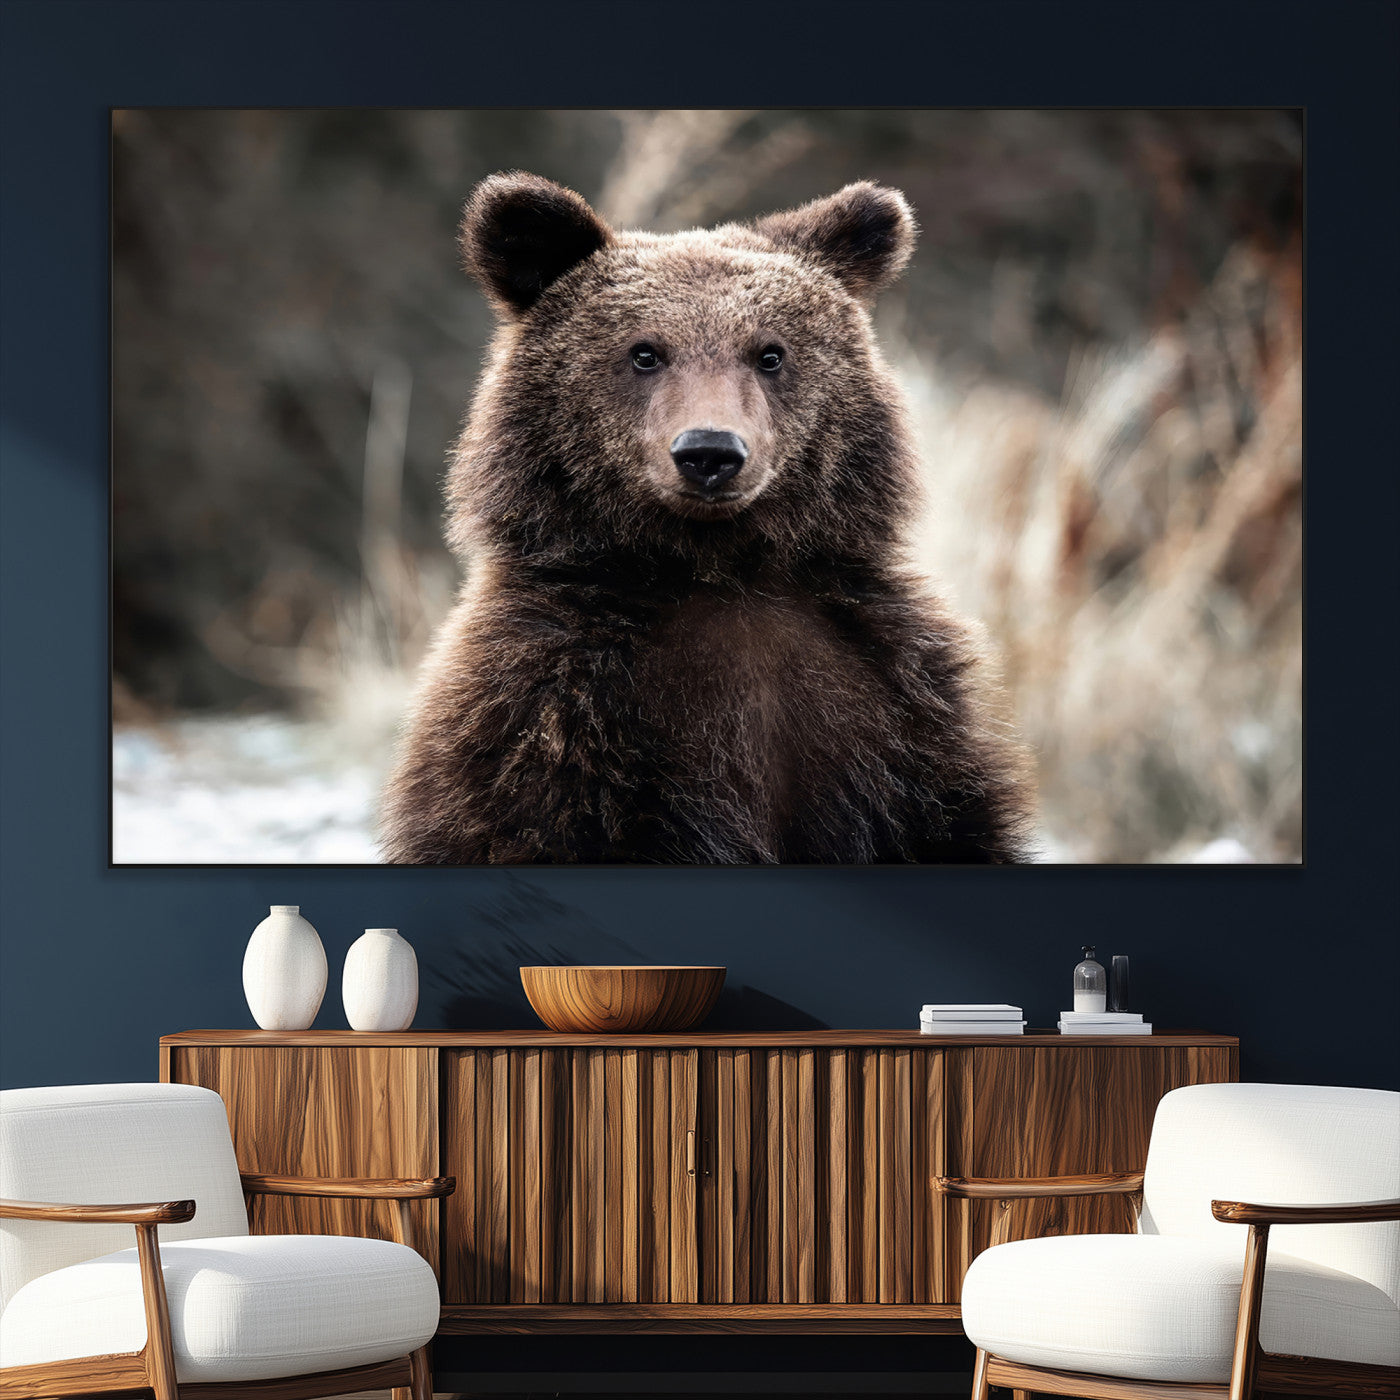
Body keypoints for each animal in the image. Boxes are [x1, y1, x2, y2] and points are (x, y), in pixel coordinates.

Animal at [380, 172, 1033, 864]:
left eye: (770, 353)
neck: (718, 569)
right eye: (644, 352)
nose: (710, 452)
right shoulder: (547, 716)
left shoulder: (897, 710)